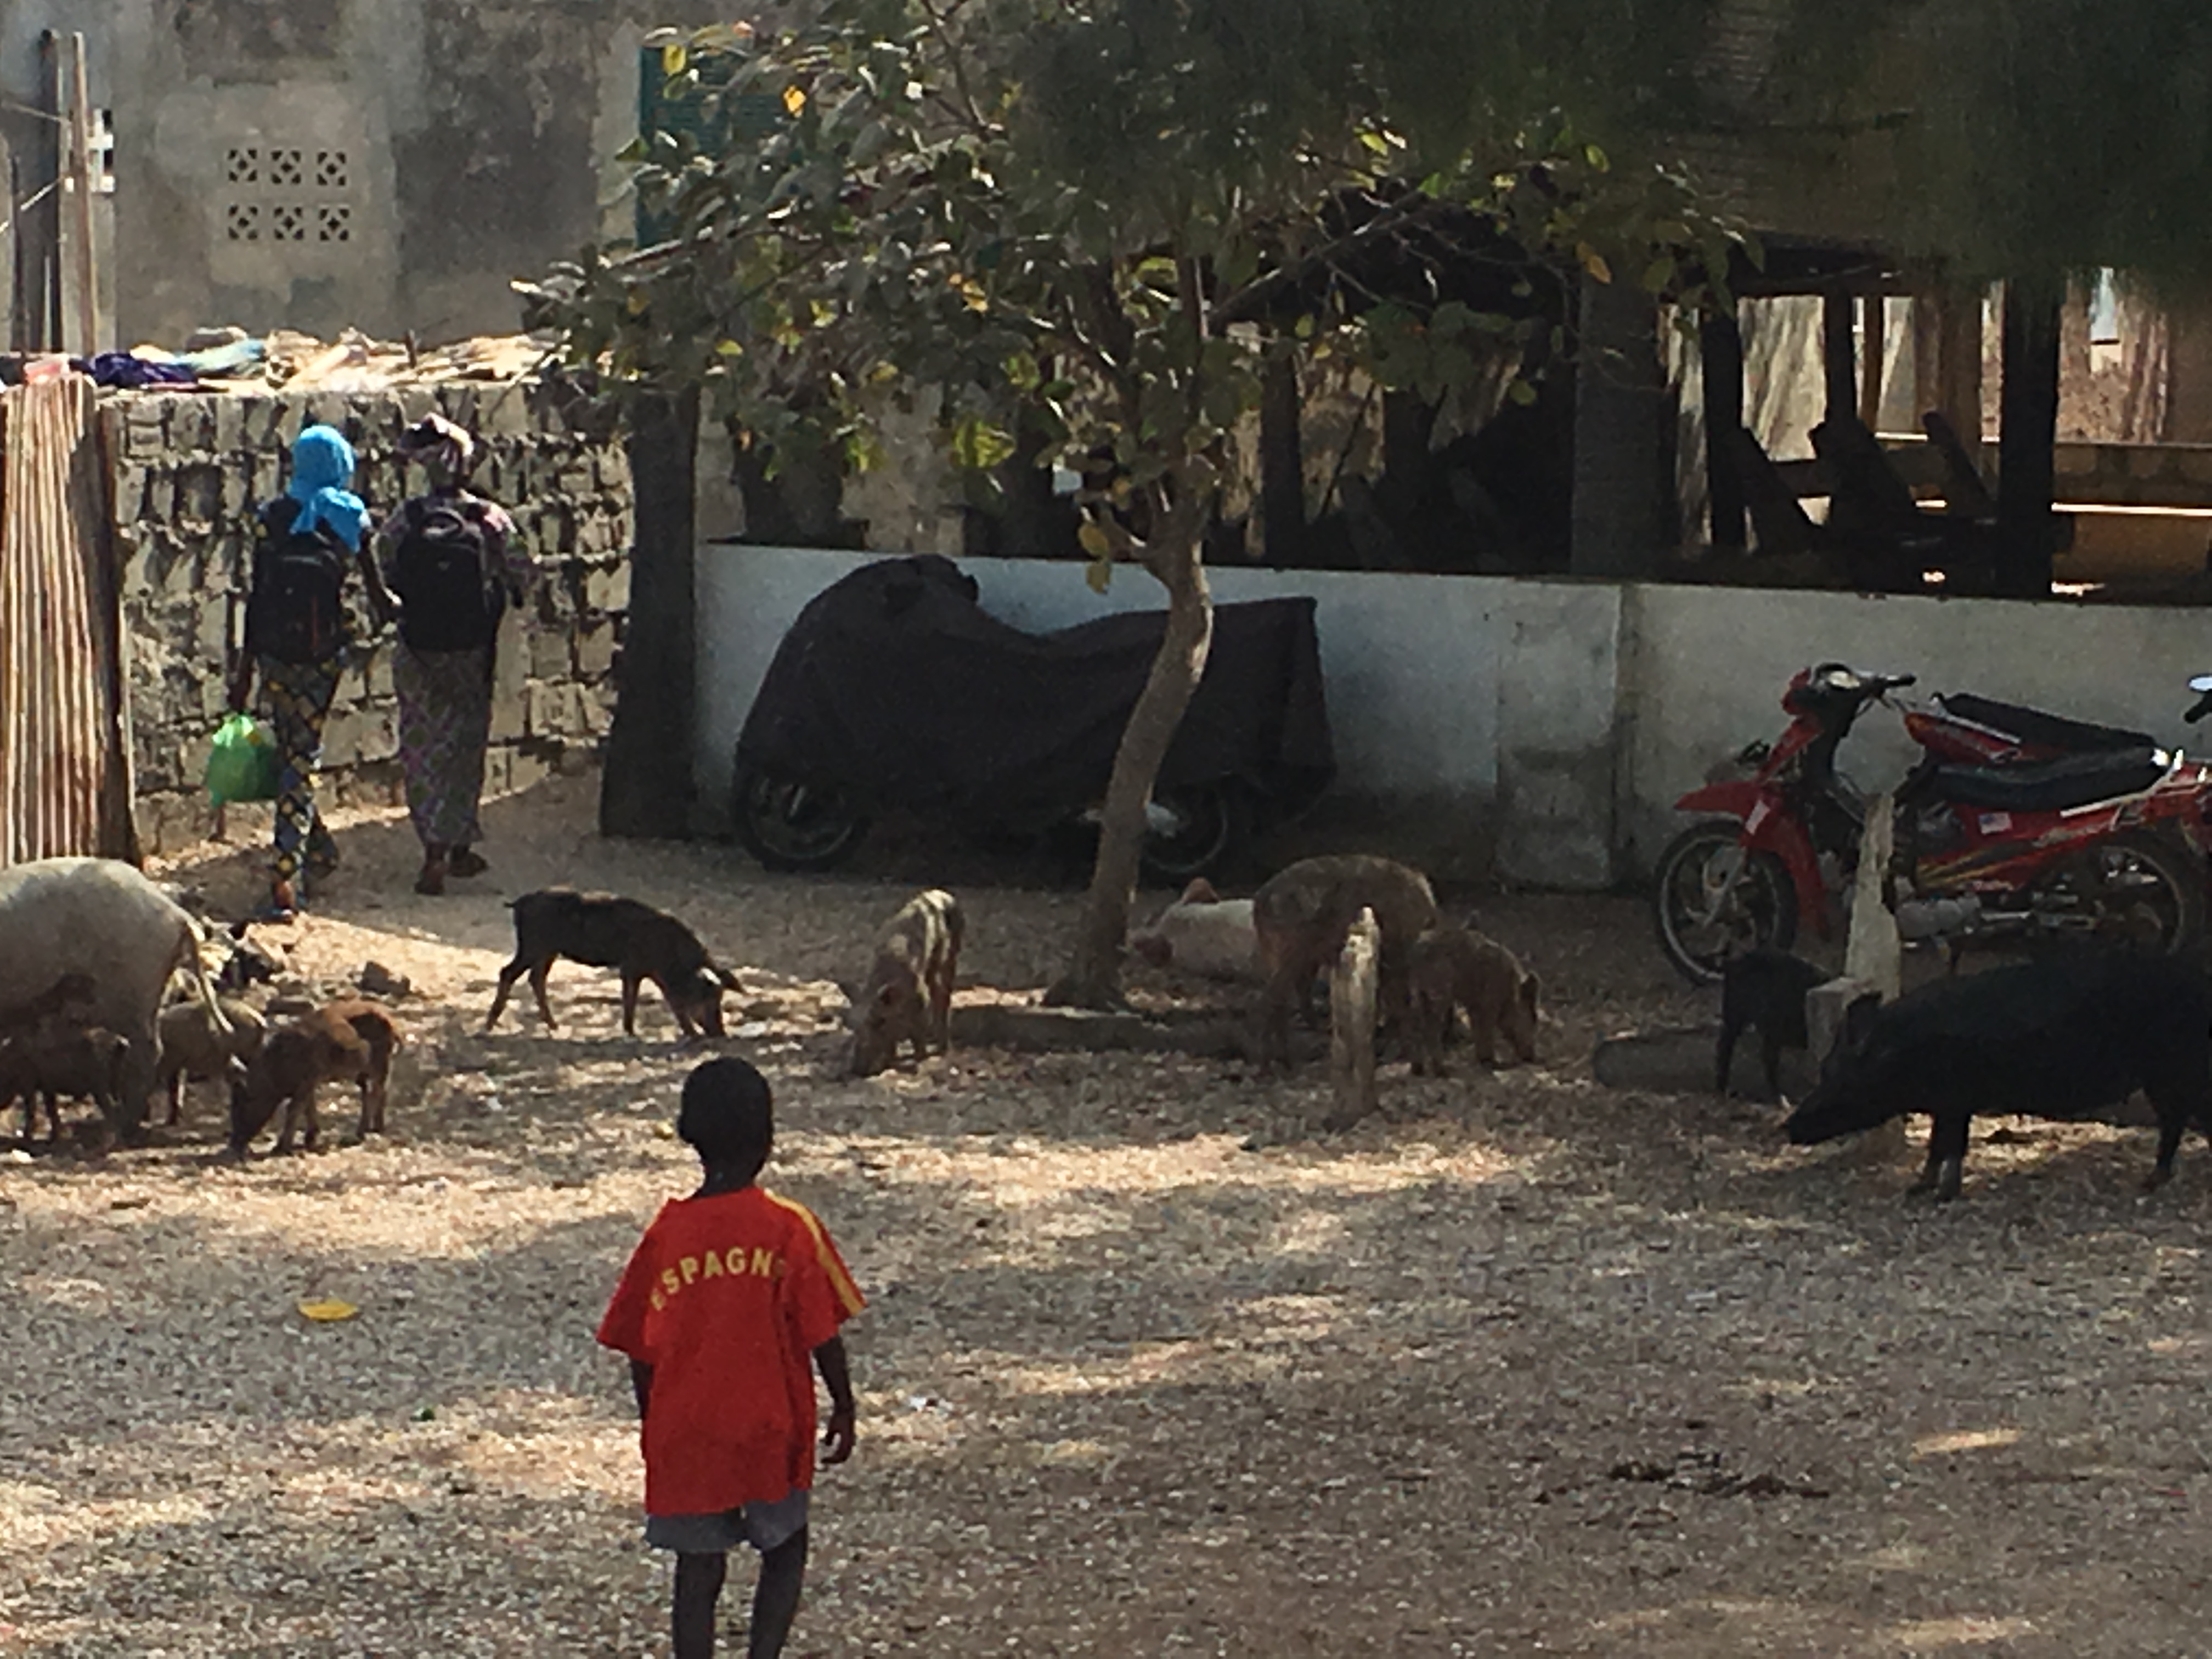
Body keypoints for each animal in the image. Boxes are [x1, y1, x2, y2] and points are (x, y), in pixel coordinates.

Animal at [840, 898, 964, 1079]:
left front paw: (919, 1060)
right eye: (851, 1025)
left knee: (943, 997)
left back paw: (943, 1047)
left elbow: (917, 1037)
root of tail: (947, 896)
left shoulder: (921, 1004)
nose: (858, 1070)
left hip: (948, 961)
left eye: (880, 1021)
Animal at [1778, 946, 2212, 1212]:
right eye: (1826, 1068)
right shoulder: (1946, 1105)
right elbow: (1936, 1146)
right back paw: (2152, 1181)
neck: (1903, 1049)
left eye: (1837, 1074)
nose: (1788, 1127)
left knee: (2183, 1118)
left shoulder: (1956, 1100)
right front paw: (1918, 1189)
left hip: (2177, 1070)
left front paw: (1942, 1197)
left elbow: (1953, 1146)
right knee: (2175, 1121)